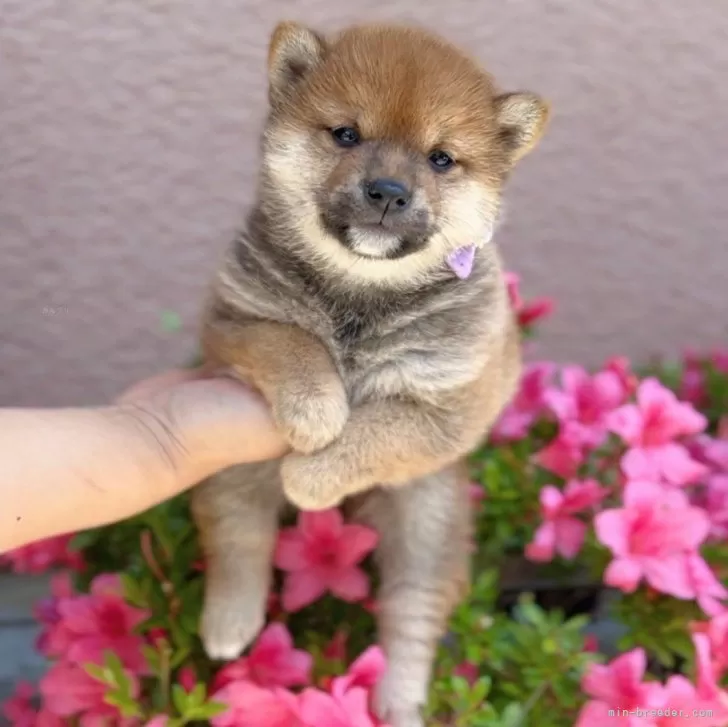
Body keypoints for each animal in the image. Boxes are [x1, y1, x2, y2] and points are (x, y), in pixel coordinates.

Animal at [191, 19, 548, 724]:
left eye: (441, 159)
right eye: (346, 135)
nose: (387, 191)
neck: (361, 294)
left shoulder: (448, 408)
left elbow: (374, 433)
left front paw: (313, 473)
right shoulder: (233, 325)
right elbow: (293, 345)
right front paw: (316, 409)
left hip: (427, 523)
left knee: (410, 615)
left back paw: (400, 701)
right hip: (233, 476)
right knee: (239, 542)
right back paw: (229, 626)